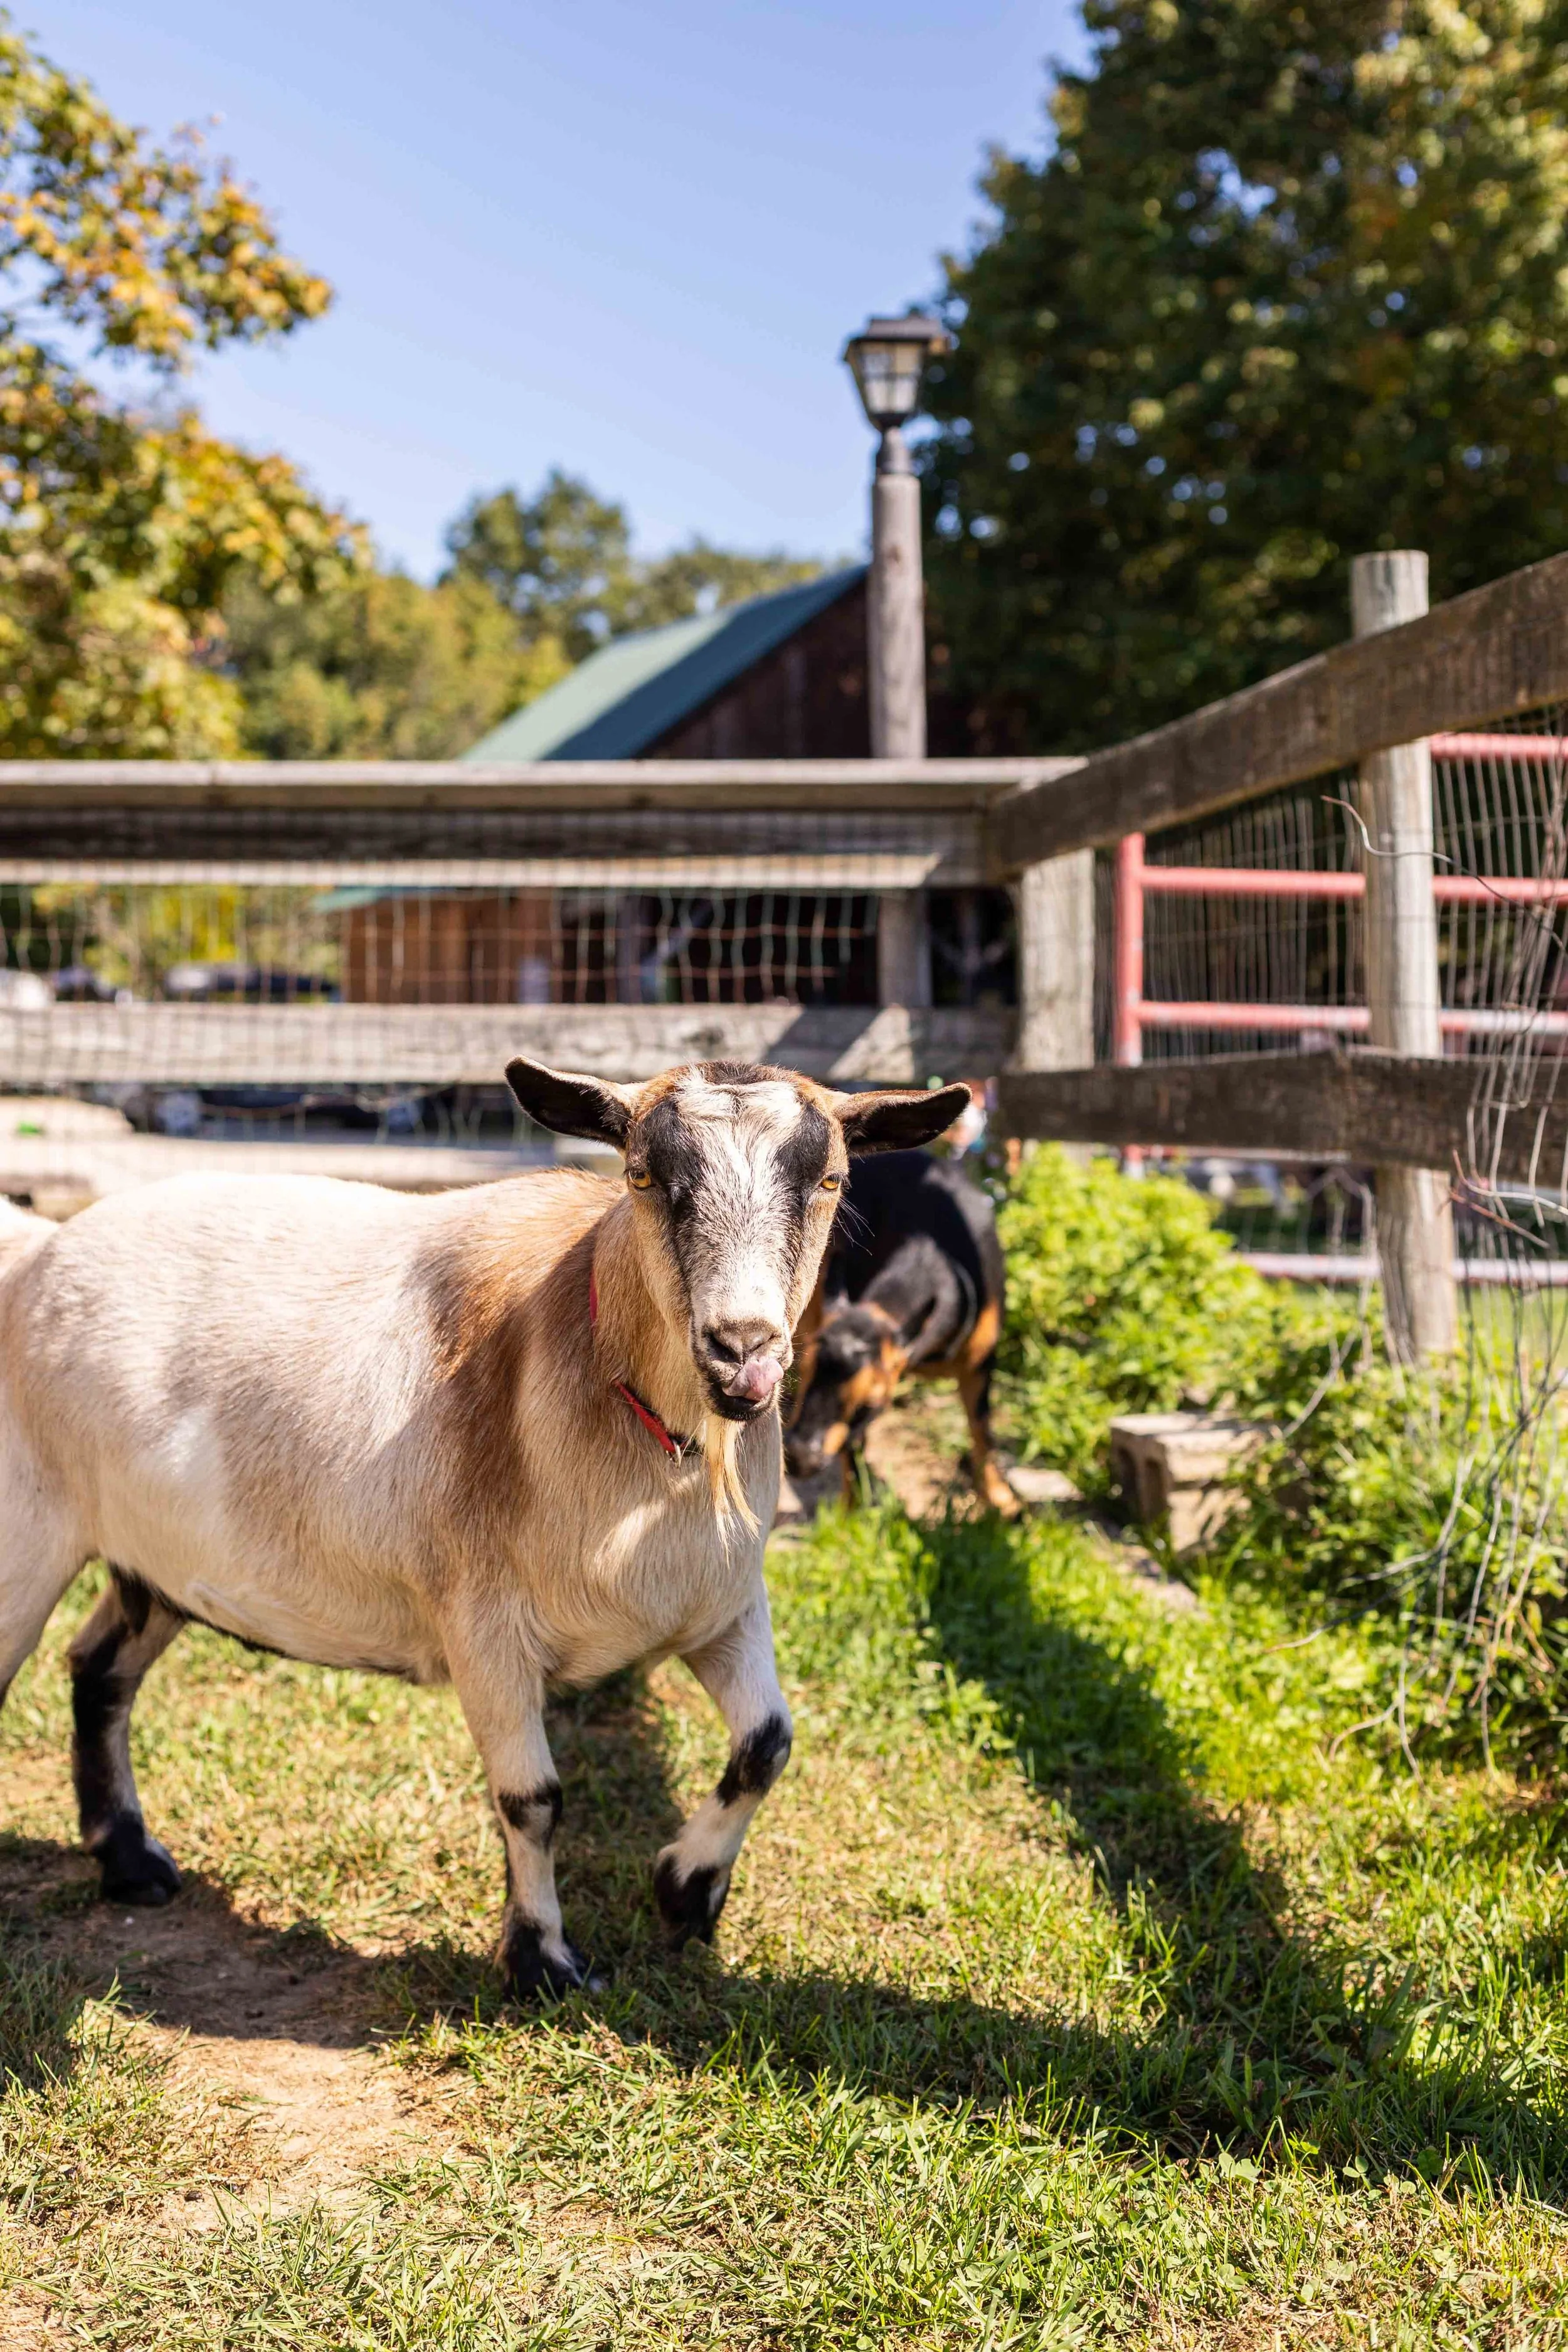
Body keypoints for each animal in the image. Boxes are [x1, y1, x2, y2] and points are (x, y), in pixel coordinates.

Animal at [0, 1059, 967, 1995]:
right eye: (642, 1175)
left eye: (831, 1178)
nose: (743, 1353)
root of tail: (41, 1253)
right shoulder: (483, 1625)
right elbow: (531, 1799)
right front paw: (541, 1963)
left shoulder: (721, 1606)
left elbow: (768, 1744)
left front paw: (686, 1891)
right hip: (30, 1531)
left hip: (155, 1563)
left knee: (99, 1671)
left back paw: (131, 1862)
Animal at [784, 1149, 1014, 1513]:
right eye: (806, 1374)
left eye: (870, 1403)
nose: (799, 1459)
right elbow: (853, 1445)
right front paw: (851, 1512)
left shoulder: (983, 1359)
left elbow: (983, 1427)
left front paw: (1002, 1499)